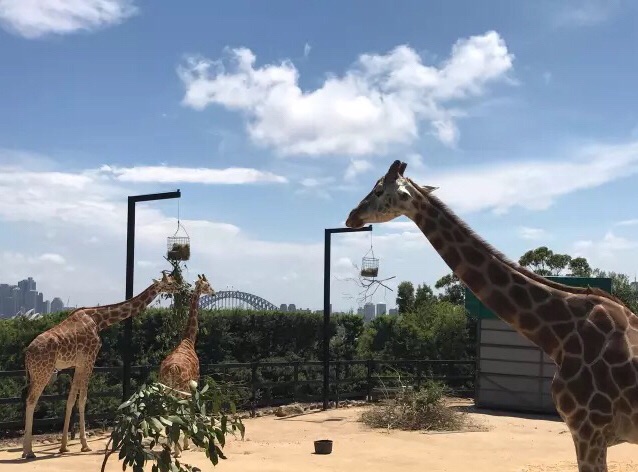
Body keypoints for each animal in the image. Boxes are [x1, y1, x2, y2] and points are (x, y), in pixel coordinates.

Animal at [21, 272, 181, 460]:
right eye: (169, 283)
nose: (180, 288)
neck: (99, 320)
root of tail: (27, 353)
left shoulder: (79, 363)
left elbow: (70, 400)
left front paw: (64, 446)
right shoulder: (90, 358)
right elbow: (82, 399)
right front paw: (84, 445)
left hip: (35, 373)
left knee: (28, 399)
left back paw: (26, 449)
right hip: (43, 372)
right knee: (31, 400)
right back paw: (28, 451)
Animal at [159, 274, 215, 456]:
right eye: (207, 284)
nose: (214, 292)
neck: (189, 340)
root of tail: (172, 369)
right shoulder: (194, 383)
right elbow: (190, 411)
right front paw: (185, 444)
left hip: (166, 389)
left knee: (167, 413)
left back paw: (169, 446)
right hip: (180, 389)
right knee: (176, 413)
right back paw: (177, 450)